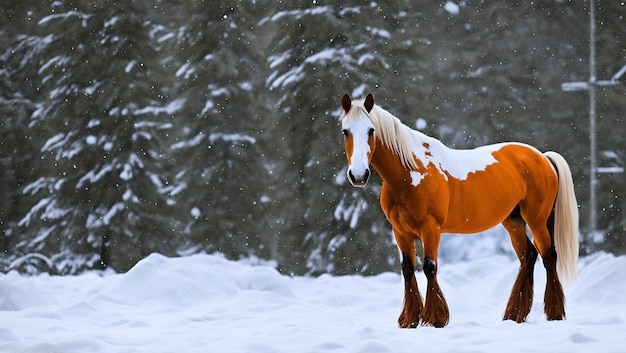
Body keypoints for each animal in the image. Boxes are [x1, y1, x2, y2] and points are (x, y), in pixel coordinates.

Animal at [338, 93, 576, 328]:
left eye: (371, 130)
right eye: (345, 131)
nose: (358, 175)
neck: (410, 172)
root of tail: (542, 157)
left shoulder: (431, 229)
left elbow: (429, 267)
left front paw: (435, 319)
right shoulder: (400, 232)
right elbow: (407, 269)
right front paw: (410, 320)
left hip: (536, 221)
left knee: (548, 256)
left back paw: (554, 313)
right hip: (514, 221)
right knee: (529, 256)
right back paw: (514, 315)